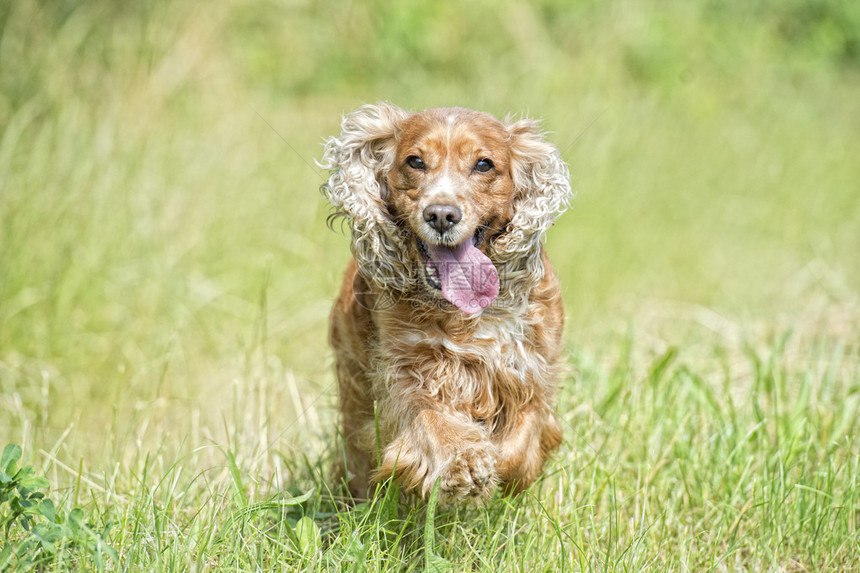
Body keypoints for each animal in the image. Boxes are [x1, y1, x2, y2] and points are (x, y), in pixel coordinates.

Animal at [320, 104, 572, 500]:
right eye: (415, 161)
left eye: (483, 164)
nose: (441, 214)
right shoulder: (403, 371)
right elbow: (428, 416)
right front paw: (464, 461)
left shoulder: (531, 368)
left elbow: (521, 443)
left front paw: (497, 464)